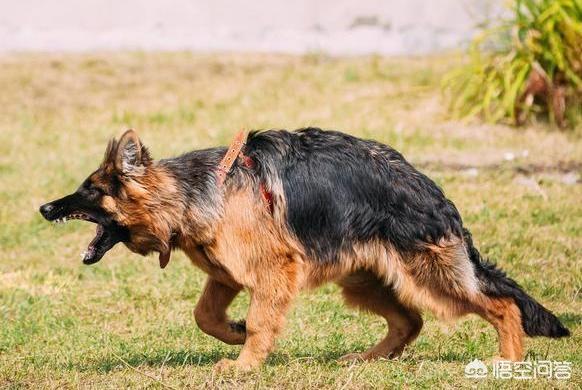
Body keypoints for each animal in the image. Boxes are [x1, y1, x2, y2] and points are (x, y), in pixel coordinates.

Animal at [40, 129, 572, 372]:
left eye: (89, 190)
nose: (44, 207)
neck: (192, 193)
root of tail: (428, 188)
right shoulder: (226, 273)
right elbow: (205, 315)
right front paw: (233, 335)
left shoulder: (271, 271)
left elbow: (259, 320)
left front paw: (244, 365)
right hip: (363, 279)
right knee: (409, 320)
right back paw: (368, 359)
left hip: (426, 274)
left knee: (500, 305)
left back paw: (509, 361)